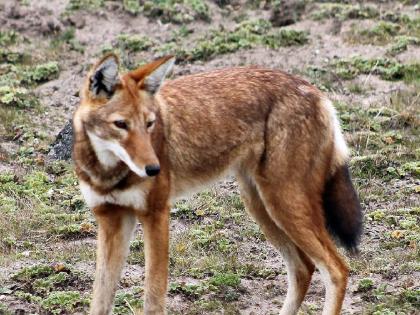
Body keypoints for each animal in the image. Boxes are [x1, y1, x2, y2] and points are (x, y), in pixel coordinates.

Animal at [72, 55, 360, 315]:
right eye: (121, 125)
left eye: (150, 124)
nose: (154, 169)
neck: (108, 172)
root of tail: (316, 91)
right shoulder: (111, 219)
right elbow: (99, 301)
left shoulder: (156, 215)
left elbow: (153, 300)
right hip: (261, 208)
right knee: (303, 269)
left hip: (284, 207)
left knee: (337, 270)